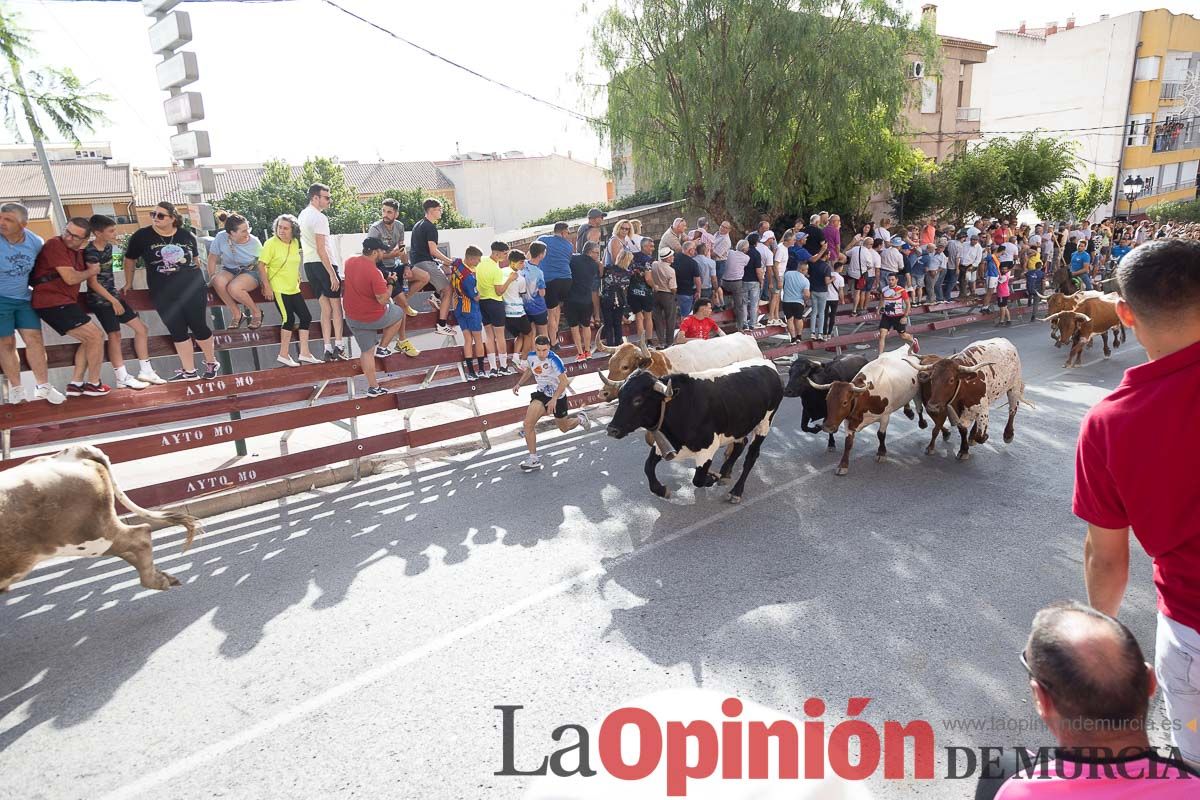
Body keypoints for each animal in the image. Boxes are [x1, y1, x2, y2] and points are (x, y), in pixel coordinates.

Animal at [0, 443, 201, 594]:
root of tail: (74, 454)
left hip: (84, 537)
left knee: (140, 535)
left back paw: (157, 580)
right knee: (130, 545)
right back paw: (164, 578)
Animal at [604, 362, 782, 503]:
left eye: (638, 400)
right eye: (619, 397)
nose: (612, 429)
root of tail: (769, 365)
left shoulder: (707, 449)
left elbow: (698, 479)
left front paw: (711, 477)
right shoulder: (663, 445)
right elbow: (648, 467)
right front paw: (661, 490)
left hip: (764, 423)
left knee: (751, 456)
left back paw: (736, 491)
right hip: (739, 426)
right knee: (740, 445)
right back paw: (725, 473)